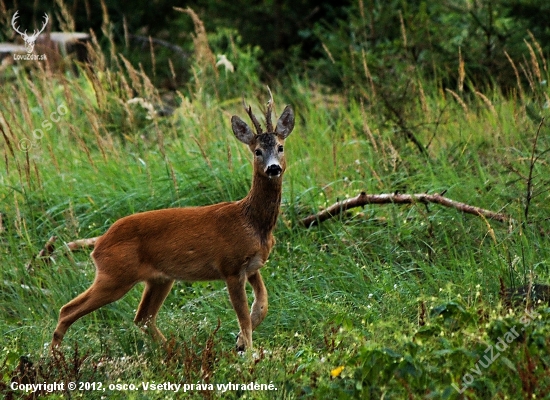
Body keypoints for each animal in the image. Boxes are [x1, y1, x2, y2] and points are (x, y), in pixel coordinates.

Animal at [51, 94, 296, 350]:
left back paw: (174, 349)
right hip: (115, 275)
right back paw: (56, 354)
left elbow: (261, 306)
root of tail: (99, 242)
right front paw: (246, 350)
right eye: (257, 151)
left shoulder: (253, 266)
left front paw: (239, 342)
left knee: (143, 318)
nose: (273, 168)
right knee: (67, 309)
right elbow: (244, 317)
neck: (252, 222)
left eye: (280, 147)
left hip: (159, 279)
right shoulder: (230, 266)